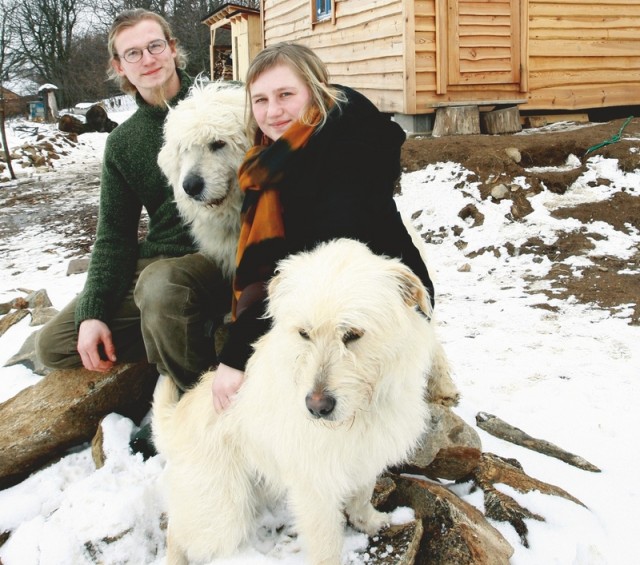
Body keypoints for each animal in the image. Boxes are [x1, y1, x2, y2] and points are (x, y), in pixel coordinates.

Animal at [151, 238, 440, 564]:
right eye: (304, 333)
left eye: (353, 334)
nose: (317, 407)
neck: (358, 413)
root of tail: (175, 422)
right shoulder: (314, 488)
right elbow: (327, 548)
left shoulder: (365, 457)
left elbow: (362, 496)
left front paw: (369, 521)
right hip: (223, 514)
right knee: (178, 533)